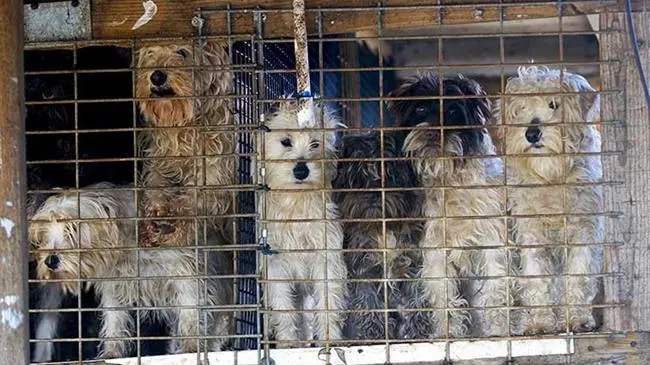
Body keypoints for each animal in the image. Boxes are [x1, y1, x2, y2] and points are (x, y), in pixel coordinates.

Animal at [135, 40, 237, 247]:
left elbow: (195, 202)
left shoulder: (215, 173)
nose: (156, 76)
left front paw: (176, 232)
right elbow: (155, 185)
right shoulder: (158, 160)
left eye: (182, 52)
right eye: (151, 52)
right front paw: (154, 213)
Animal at [260, 98, 346, 346]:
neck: (295, 203)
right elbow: (284, 309)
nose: (301, 170)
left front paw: (330, 340)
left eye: (315, 144)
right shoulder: (276, 266)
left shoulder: (326, 259)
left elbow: (328, 304)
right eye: (286, 141)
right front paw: (287, 344)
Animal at [330, 130, 430, 338]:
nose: (372, 194)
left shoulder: (413, 263)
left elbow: (417, 298)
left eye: (389, 173)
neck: (382, 228)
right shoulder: (364, 268)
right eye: (356, 177)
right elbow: (368, 303)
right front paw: (372, 333)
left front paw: (418, 332)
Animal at [496, 65, 604, 332]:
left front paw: (577, 319)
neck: (551, 178)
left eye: (554, 104)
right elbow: (537, 278)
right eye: (522, 108)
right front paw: (541, 322)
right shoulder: (531, 232)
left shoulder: (584, 230)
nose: (532, 133)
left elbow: (579, 275)